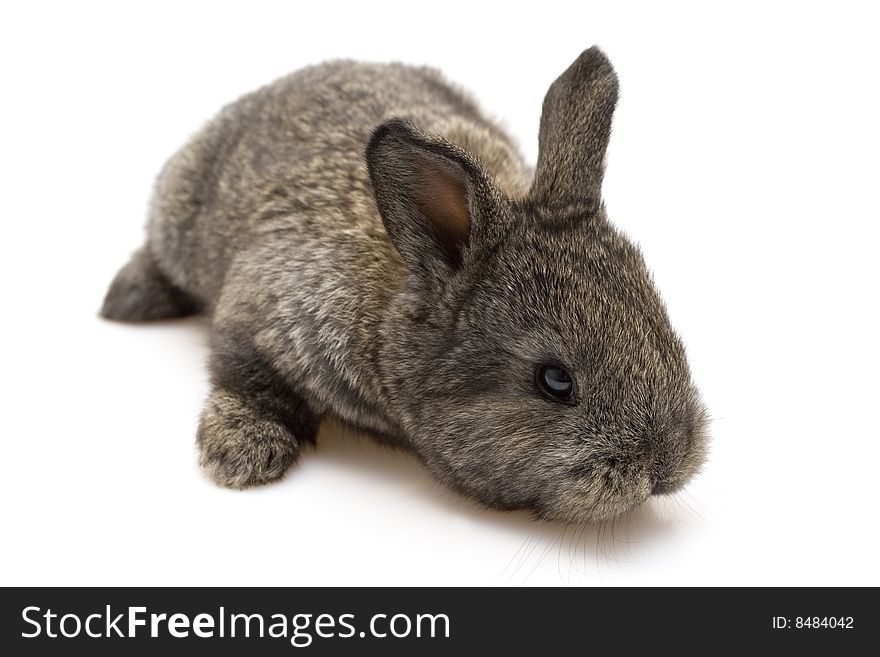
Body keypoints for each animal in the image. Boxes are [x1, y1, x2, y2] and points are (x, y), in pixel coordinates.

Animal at [103, 46, 708, 520]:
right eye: (555, 381)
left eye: (664, 328)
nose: (666, 463)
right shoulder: (261, 312)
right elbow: (246, 378)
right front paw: (242, 454)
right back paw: (128, 299)